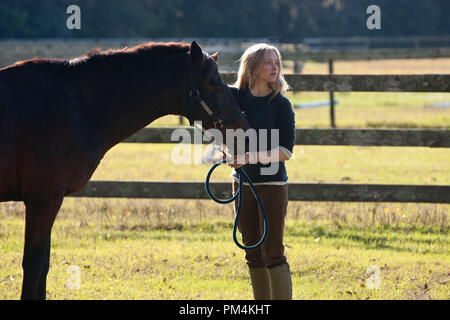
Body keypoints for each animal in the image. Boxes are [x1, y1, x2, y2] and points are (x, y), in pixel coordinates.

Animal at [0, 40, 250, 300]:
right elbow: (34, 264)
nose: (244, 131)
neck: (75, 106)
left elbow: (43, 266)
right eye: (214, 83)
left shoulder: (47, 201)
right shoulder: (43, 199)